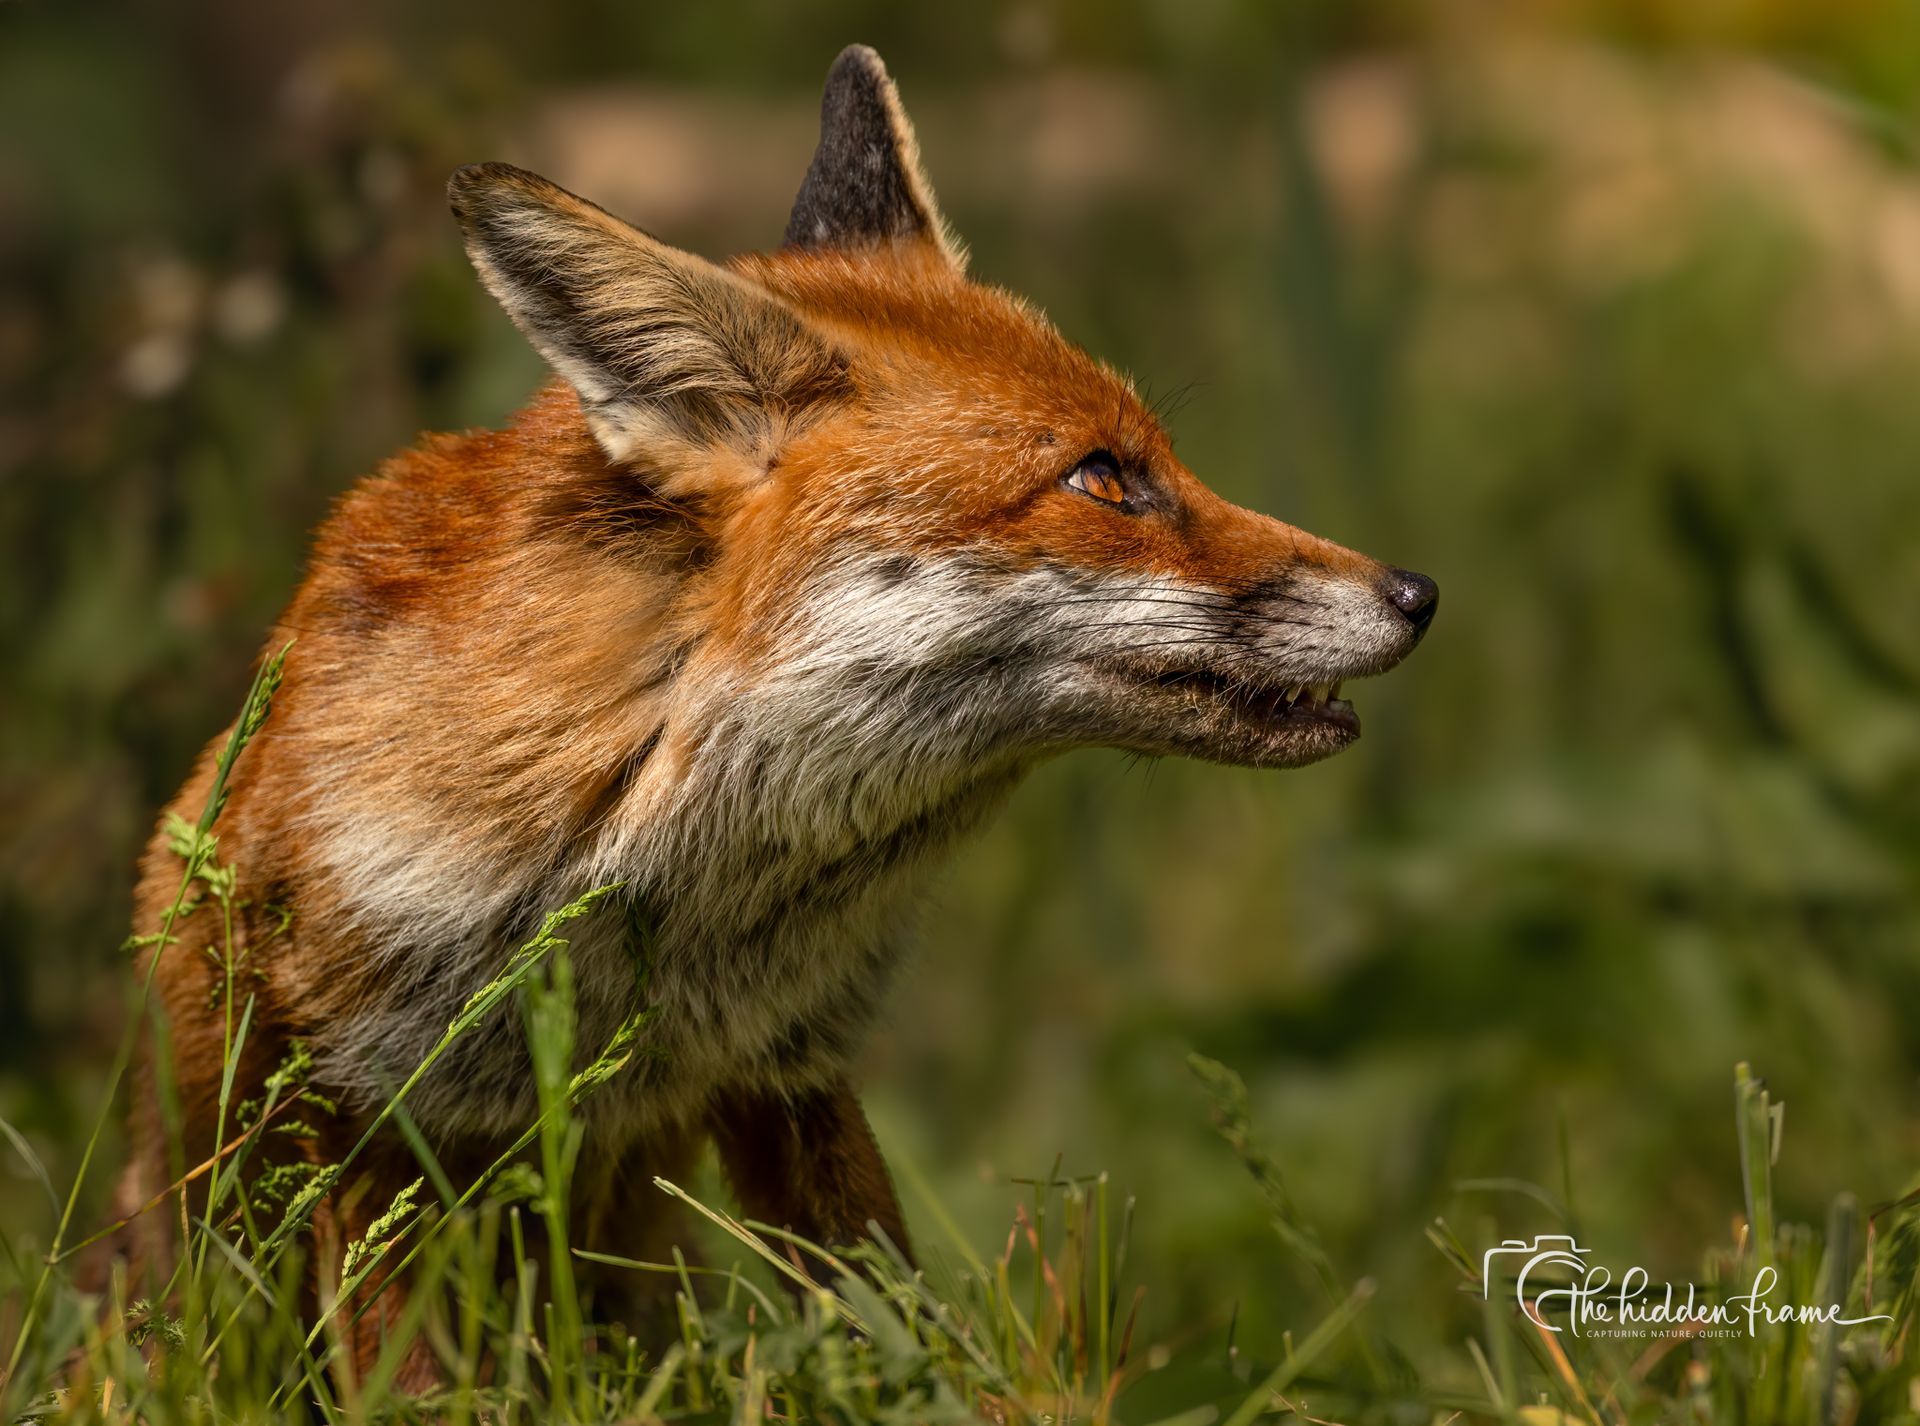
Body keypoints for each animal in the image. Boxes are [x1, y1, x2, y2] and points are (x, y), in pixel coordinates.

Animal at [121, 45, 1436, 1381]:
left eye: (1152, 460)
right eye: (1104, 479)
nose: (1418, 594)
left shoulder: (790, 1065)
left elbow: (896, 1332)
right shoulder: (366, 1110)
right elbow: (417, 1378)